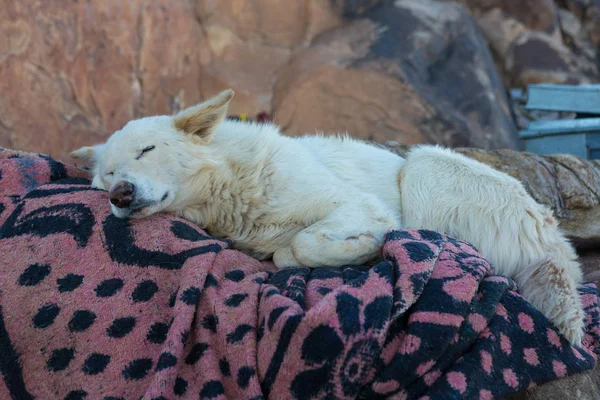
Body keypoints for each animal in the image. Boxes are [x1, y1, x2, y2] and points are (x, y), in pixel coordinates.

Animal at [70, 90, 584, 344]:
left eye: (147, 150)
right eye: (108, 172)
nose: (119, 194)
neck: (232, 184)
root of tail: (551, 235)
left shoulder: (359, 205)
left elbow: (302, 244)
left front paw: (365, 249)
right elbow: (284, 251)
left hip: (422, 166)